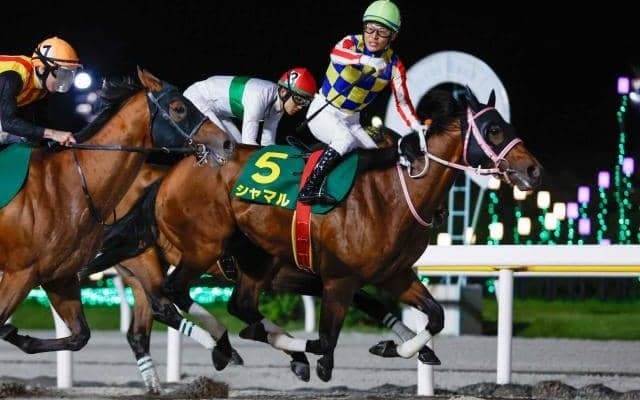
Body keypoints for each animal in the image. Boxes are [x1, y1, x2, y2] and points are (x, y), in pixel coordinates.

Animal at [0, 67, 234, 359]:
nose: (226, 143)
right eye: (179, 108)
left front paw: (17, 335)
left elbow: (79, 336)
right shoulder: (19, 274)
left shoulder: (59, 276)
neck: (69, 185)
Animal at [83, 87, 543, 382]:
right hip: (187, 252)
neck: (392, 193)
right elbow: (324, 341)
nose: (534, 169)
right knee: (171, 299)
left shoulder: (391, 274)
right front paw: (308, 357)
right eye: (495, 129)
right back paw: (226, 346)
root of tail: (170, 175)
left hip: (243, 262)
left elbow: (435, 315)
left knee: (201, 311)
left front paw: (401, 347)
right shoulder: (337, 279)